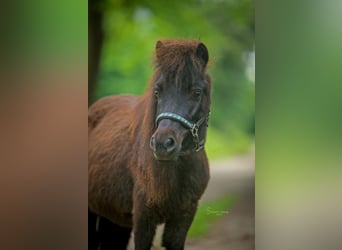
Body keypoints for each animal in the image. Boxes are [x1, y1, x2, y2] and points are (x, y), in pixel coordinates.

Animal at [88, 39, 211, 250]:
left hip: (114, 219)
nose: (163, 144)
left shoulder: (183, 218)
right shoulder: (143, 219)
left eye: (196, 92)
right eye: (157, 91)